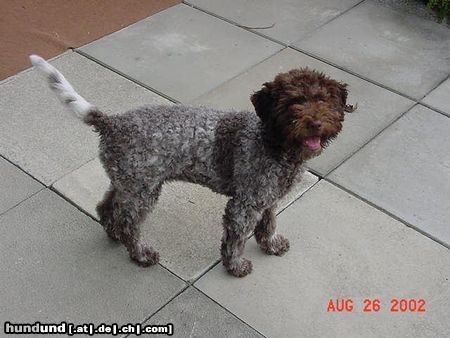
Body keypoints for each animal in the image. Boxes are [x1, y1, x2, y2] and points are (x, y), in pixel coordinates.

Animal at [30, 54, 356, 278]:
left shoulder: (268, 198)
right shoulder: (244, 205)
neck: (271, 141)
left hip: (128, 182)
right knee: (129, 223)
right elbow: (236, 239)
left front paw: (271, 245)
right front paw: (235, 266)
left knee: (107, 207)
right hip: (143, 191)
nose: (315, 123)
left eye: (323, 100)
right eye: (293, 102)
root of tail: (113, 122)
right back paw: (140, 254)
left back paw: (113, 235)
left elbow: (268, 224)